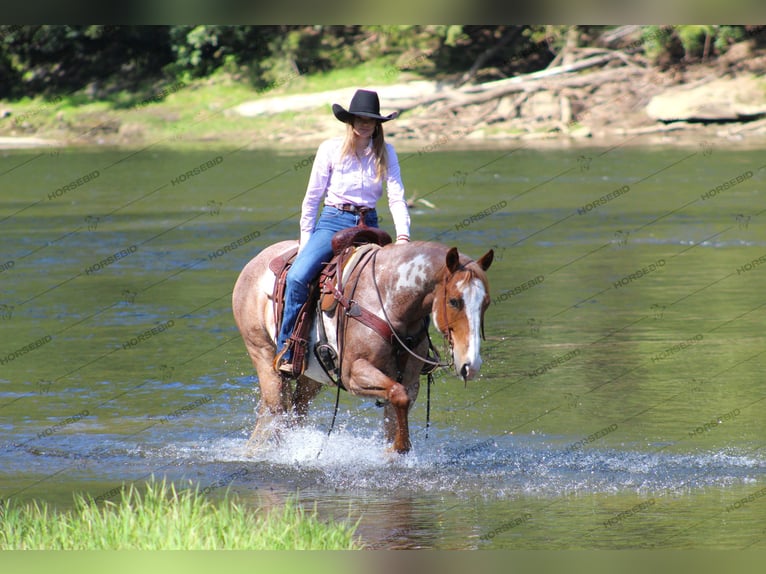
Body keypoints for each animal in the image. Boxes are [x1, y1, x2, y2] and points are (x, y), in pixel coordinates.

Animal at [231, 240, 496, 454]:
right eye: (454, 301)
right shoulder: (354, 374)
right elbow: (397, 396)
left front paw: (394, 450)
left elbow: (397, 409)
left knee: (296, 411)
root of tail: (255, 262)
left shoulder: (410, 381)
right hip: (263, 356)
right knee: (275, 414)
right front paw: (398, 447)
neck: (390, 302)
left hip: (312, 377)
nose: (471, 365)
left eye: (486, 303)